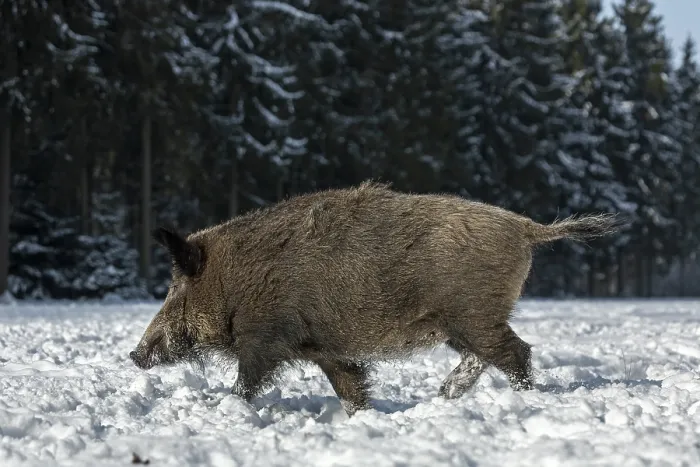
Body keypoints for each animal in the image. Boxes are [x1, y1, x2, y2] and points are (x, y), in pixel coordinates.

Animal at [129, 181, 620, 415]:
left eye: (176, 287)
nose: (134, 354)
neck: (235, 280)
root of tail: (527, 228)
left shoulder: (264, 337)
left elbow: (247, 382)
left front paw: (230, 406)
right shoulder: (323, 348)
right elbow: (350, 385)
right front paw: (361, 415)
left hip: (472, 312)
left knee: (516, 352)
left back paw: (513, 397)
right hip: (462, 322)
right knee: (490, 353)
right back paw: (445, 395)